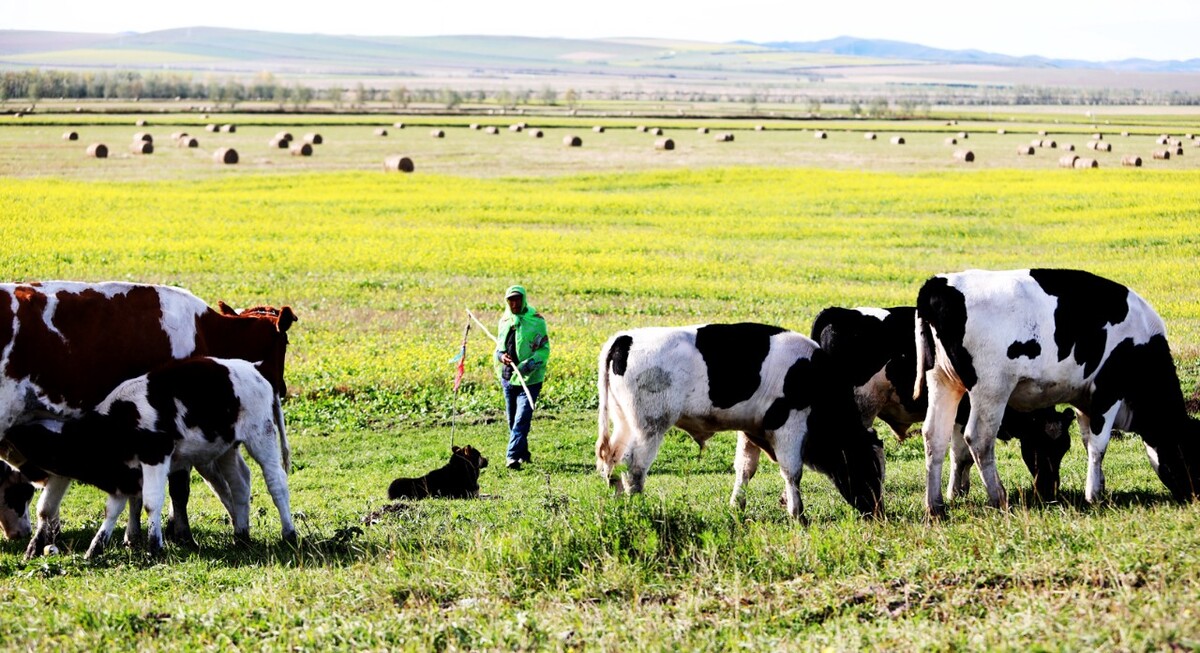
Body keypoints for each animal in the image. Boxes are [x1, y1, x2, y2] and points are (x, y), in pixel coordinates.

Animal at [0, 280, 295, 556]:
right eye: (285, 342)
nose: (281, 388)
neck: (206, 329)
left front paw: (136, 536)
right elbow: (176, 489)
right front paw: (178, 535)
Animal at [595, 321, 888, 520]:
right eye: (870, 466)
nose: (878, 511)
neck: (816, 379)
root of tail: (626, 338)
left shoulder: (751, 430)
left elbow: (745, 469)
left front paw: (737, 506)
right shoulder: (789, 428)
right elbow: (792, 472)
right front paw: (798, 514)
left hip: (624, 423)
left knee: (612, 461)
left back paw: (617, 503)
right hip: (649, 428)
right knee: (634, 469)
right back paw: (638, 508)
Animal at [811, 306, 1075, 499]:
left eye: (1064, 447)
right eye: (1037, 444)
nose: (1050, 490)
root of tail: (839, 312)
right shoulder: (963, 413)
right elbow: (961, 454)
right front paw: (955, 492)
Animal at [912, 267, 1195, 518]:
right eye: (1193, 451)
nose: (1194, 496)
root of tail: (938, 283)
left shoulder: (1084, 398)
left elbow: (1087, 440)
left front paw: (1099, 485)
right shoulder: (1108, 389)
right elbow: (1099, 443)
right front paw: (1094, 495)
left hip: (943, 380)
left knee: (934, 436)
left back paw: (935, 507)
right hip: (991, 387)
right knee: (979, 439)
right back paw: (999, 498)